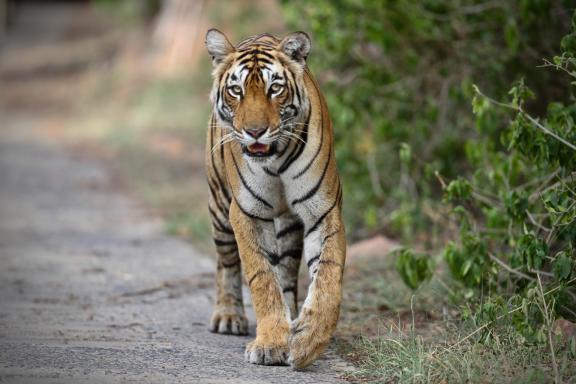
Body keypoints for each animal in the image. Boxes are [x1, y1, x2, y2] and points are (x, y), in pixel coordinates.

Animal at [205, 28, 344, 370]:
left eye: (275, 89)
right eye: (237, 91)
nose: (255, 132)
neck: (276, 158)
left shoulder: (323, 210)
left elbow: (327, 277)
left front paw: (308, 340)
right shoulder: (247, 213)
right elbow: (262, 278)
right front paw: (270, 344)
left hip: (289, 226)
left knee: (288, 275)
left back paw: (292, 319)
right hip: (219, 208)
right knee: (226, 263)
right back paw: (229, 316)